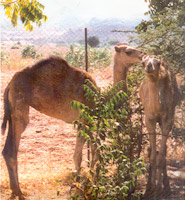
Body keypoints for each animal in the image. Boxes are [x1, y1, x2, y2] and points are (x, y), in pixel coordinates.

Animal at [139, 55, 179, 198]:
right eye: (143, 62)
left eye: (158, 62)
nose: (148, 66)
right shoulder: (149, 119)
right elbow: (152, 155)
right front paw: (151, 189)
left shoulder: (167, 120)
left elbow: (161, 156)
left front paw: (160, 189)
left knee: (165, 150)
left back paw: (166, 186)